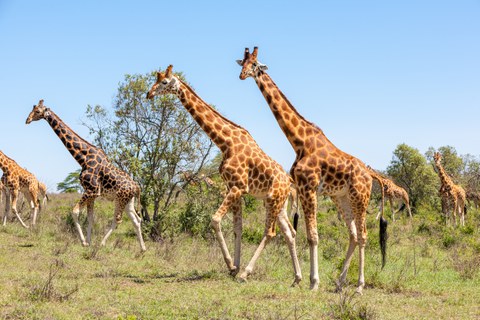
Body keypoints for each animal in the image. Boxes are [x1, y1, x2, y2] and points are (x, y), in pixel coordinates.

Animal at [25, 99, 145, 251]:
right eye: (33, 108)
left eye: (38, 111)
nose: (27, 120)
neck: (83, 158)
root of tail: (137, 187)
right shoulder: (92, 193)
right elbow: (90, 217)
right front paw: (88, 241)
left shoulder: (91, 190)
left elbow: (75, 211)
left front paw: (83, 241)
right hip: (127, 200)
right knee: (136, 219)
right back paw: (143, 248)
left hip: (121, 199)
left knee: (118, 219)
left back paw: (102, 243)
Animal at [148, 65, 302, 284]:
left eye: (164, 82)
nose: (149, 94)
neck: (225, 142)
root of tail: (289, 182)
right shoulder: (233, 188)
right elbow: (238, 228)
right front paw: (234, 266)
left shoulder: (238, 187)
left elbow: (215, 219)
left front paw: (232, 266)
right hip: (278, 203)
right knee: (290, 232)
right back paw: (297, 278)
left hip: (273, 200)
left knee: (270, 232)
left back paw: (247, 273)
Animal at [238, 46, 388, 294]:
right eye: (243, 63)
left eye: (255, 64)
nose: (242, 75)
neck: (299, 141)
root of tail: (371, 174)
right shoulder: (303, 189)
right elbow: (307, 234)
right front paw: (307, 279)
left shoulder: (309, 189)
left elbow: (313, 236)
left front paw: (314, 282)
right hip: (342, 198)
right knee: (354, 234)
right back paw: (339, 282)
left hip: (360, 197)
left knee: (364, 235)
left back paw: (359, 286)